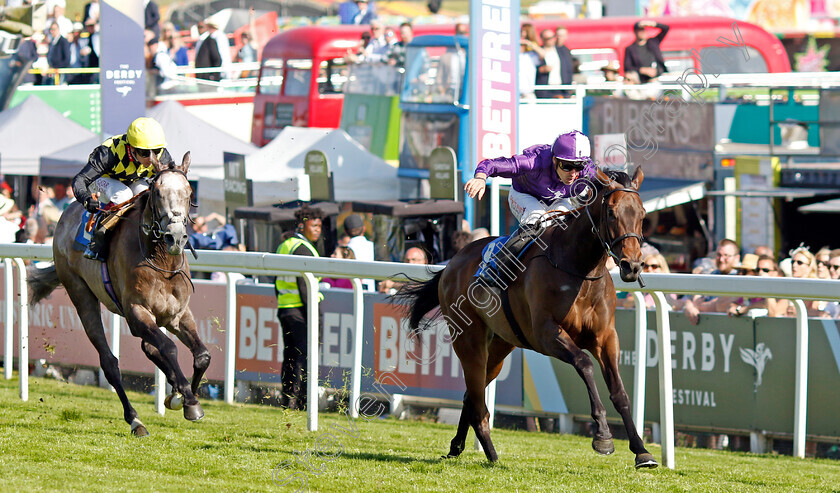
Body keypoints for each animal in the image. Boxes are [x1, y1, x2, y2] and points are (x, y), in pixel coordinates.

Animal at [28, 153, 210, 434]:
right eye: (157, 192)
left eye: (189, 192)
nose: (176, 237)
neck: (161, 262)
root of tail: (66, 214)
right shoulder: (137, 311)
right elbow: (168, 347)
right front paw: (187, 399)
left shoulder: (178, 314)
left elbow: (202, 356)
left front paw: (181, 397)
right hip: (81, 294)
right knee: (110, 362)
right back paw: (135, 420)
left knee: (149, 347)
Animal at [398, 166, 660, 468]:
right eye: (611, 212)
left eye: (642, 214)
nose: (633, 265)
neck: (578, 268)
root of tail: (452, 264)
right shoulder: (546, 334)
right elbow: (584, 364)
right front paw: (603, 437)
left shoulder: (606, 337)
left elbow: (619, 391)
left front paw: (642, 451)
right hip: (469, 341)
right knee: (478, 403)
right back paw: (492, 455)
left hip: (500, 347)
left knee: (471, 395)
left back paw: (457, 446)